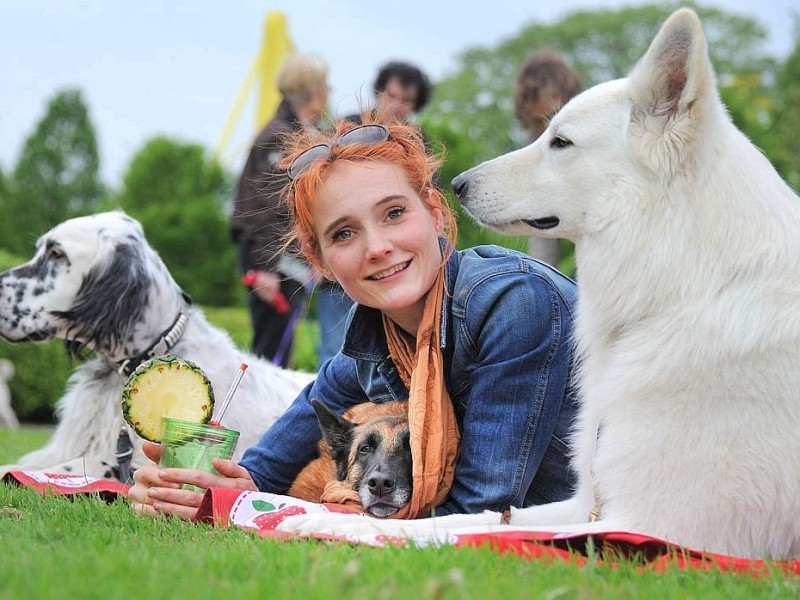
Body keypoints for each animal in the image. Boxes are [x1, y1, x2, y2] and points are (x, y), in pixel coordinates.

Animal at [278, 8, 800, 556]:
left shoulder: (652, 524)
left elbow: (457, 526)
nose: (457, 184)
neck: (689, 292)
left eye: (561, 141)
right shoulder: (582, 502)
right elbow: (478, 517)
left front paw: (343, 525)